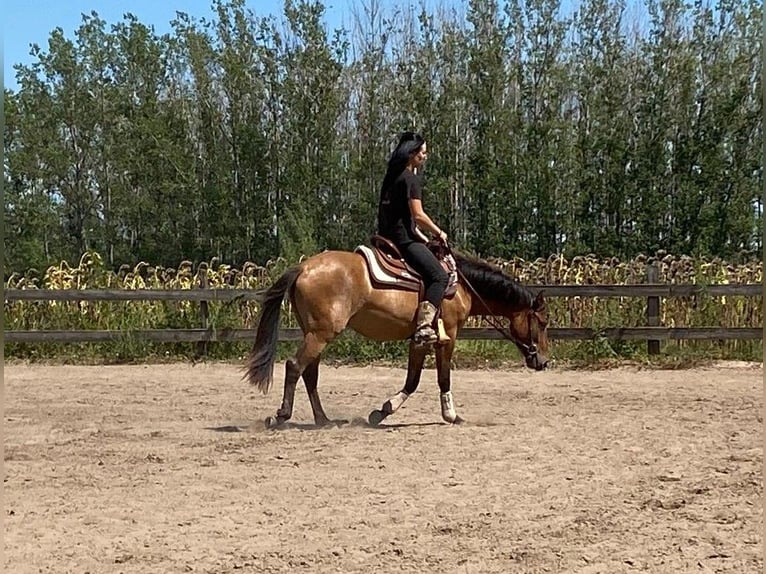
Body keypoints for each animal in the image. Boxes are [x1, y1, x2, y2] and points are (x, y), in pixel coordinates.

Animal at [243, 238, 548, 428]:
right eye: (543, 322)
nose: (544, 361)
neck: (461, 285)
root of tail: (304, 266)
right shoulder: (447, 337)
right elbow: (443, 378)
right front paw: (452, 415)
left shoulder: (420, 340)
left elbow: (412, 380)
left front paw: (382, 411)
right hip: (320, 333)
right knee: (295, 367)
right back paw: (282, 415)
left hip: (314, 333)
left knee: (310, 374)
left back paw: (323, 419)